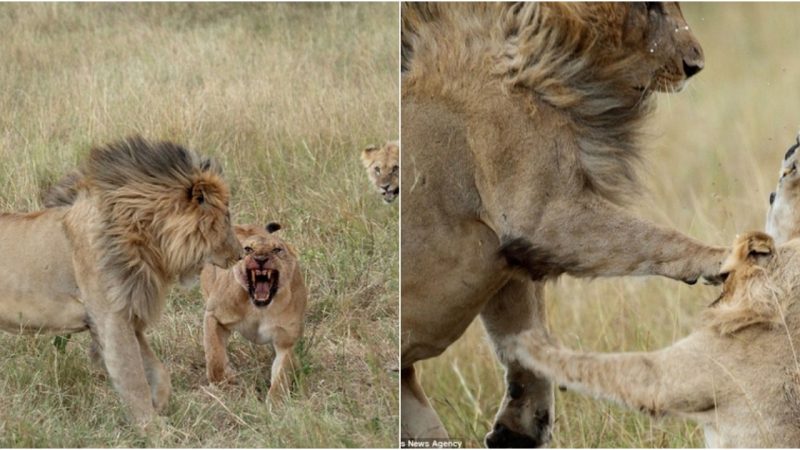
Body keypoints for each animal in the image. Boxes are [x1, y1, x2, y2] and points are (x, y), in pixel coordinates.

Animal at [1, 136, 242, 428]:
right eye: (227, 217)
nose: (242, 253)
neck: (145, 235)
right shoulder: (111, 317)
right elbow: (133, 376)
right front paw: (155, 429)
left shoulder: (129, 314)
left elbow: (157, 371)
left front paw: (160, 405)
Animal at [202, 223, 308, 402]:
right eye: (248, 249)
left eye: (277, 250)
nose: (260, 259)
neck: (259, 308)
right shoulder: (214, 315)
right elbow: (215, 356)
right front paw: (224, 385)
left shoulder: (286, 341)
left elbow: (281, 375)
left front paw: (275, 403)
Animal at [400, 3, 724, 446]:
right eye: (650, 7)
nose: (696, 65)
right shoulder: (541, 216)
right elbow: (649, 236)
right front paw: (724, 258)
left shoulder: (504, 257)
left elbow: (524, 339)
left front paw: (517, 429)